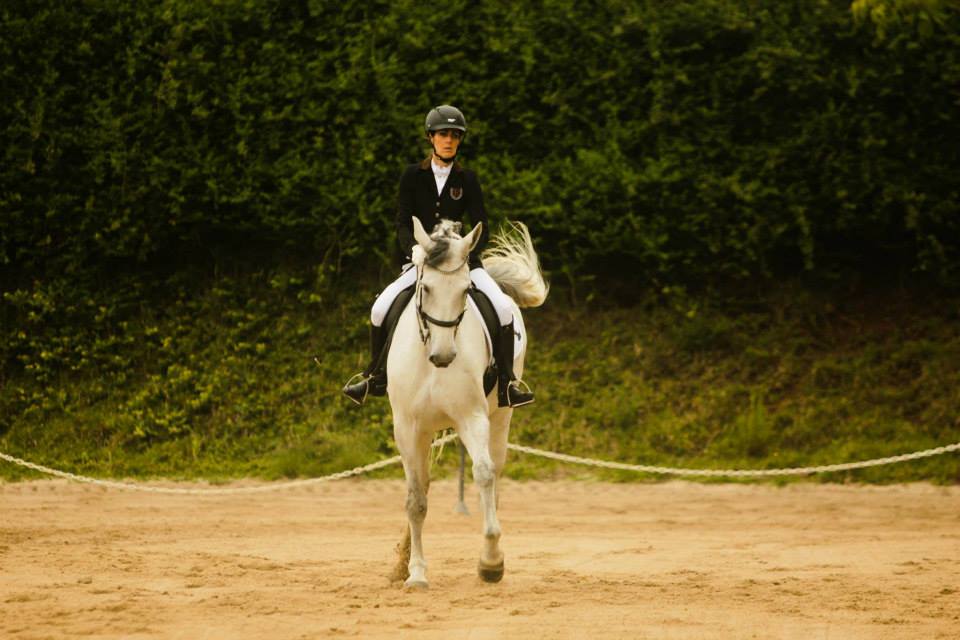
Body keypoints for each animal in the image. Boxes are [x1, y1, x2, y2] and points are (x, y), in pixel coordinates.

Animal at [384, 218, 548, 588]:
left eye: (464, 290)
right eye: (426, 288)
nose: (444, 356)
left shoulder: (472, 417)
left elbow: (483, 474)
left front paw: (491, 562)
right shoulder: (407, 428)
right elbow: (415, 498)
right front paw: (415, 572)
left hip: (501, 417)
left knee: (495, 474)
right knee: (424, 484)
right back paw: (401, 564)